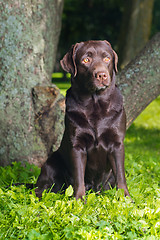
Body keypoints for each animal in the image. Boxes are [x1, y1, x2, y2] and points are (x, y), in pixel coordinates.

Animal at [35, 40, 130, 200]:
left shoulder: (117, 144)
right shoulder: (77, 146)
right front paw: (79, 200)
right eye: (86, 60)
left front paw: (125, 198)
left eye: (107, 58)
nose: (101, 75)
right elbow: (78, 177)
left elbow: (121, 176)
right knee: (40, 188)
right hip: (51, 162)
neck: (95, 104)